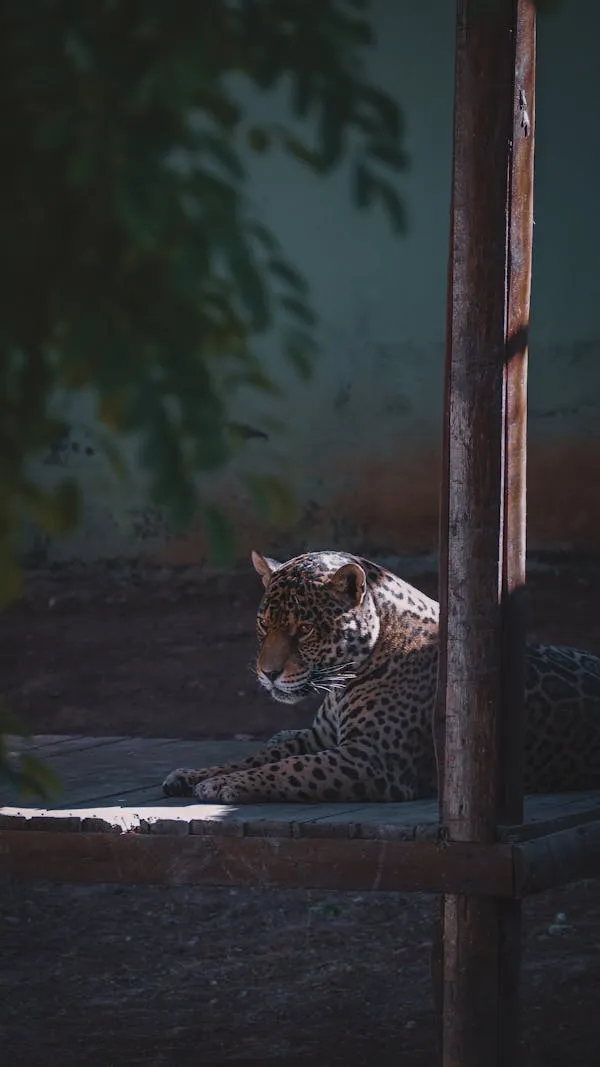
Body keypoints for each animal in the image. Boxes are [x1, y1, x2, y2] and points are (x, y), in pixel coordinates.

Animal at [163, 549, 600, 805]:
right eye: (263, 624)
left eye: (304, 629)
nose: (267, 674)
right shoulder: (320, 737)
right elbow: (262, 756)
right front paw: (194, 775)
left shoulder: (375, 759)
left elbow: (290, 768)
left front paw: (225, 785)